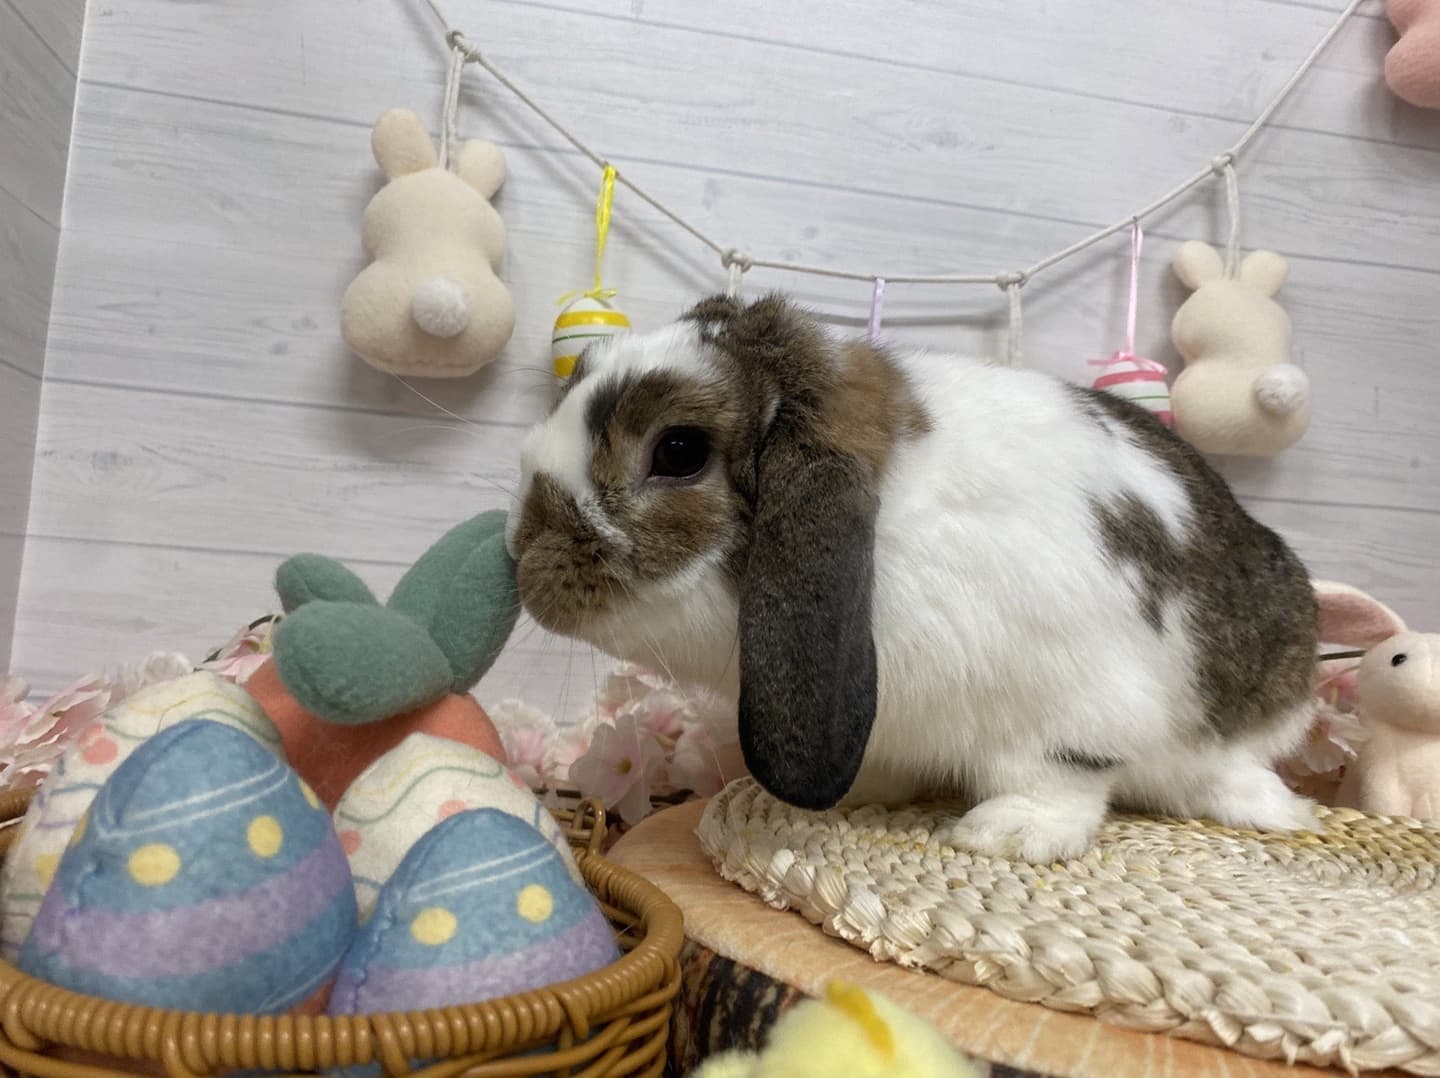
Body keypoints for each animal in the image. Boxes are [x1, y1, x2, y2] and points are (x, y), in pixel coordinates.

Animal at [505, 293, 1320, 862]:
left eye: (677, 451)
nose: (521, 553)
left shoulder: (1075, 700)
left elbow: (1059, 777)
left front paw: (1008, 834)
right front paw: (856, 796)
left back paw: (1271, 807)